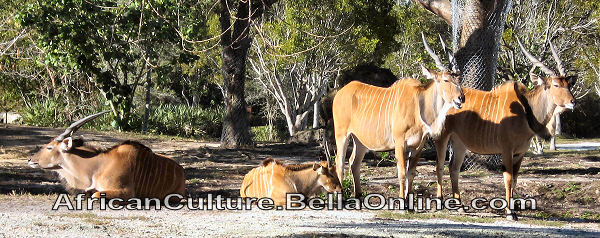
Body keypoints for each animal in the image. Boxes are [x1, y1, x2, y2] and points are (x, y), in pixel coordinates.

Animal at [28, 111, 186, 203]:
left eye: (49, 147)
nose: (30, 160)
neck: (97, 167)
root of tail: (181, 170)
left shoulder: (125, 192)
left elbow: (95, 196)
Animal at [332, 33, 464, 198]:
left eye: (459, 79)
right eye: (446, 79)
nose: (461, 98)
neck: (418, 105)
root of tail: (340, 92)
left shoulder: (418, 146)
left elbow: (411, 173)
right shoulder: (400, 142)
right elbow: (401, 174)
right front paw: (402, 200)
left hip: (360, 140)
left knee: (353, 162)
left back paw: (359, 196)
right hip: (341, 134)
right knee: (339, 161)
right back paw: (340, 196)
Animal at [434, 38, 580, 220]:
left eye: (569, 84)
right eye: (555, 84)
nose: (573, 102)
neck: (525, 110)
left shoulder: (520, 152)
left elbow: (515, 179)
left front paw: (514, 209)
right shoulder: (507, 150)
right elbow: (508, 179)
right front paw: (510, 212)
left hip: (459, 143)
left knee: (453, 169)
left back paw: (460, 206)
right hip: (442, 137)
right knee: (439, 165)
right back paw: (440, 203)